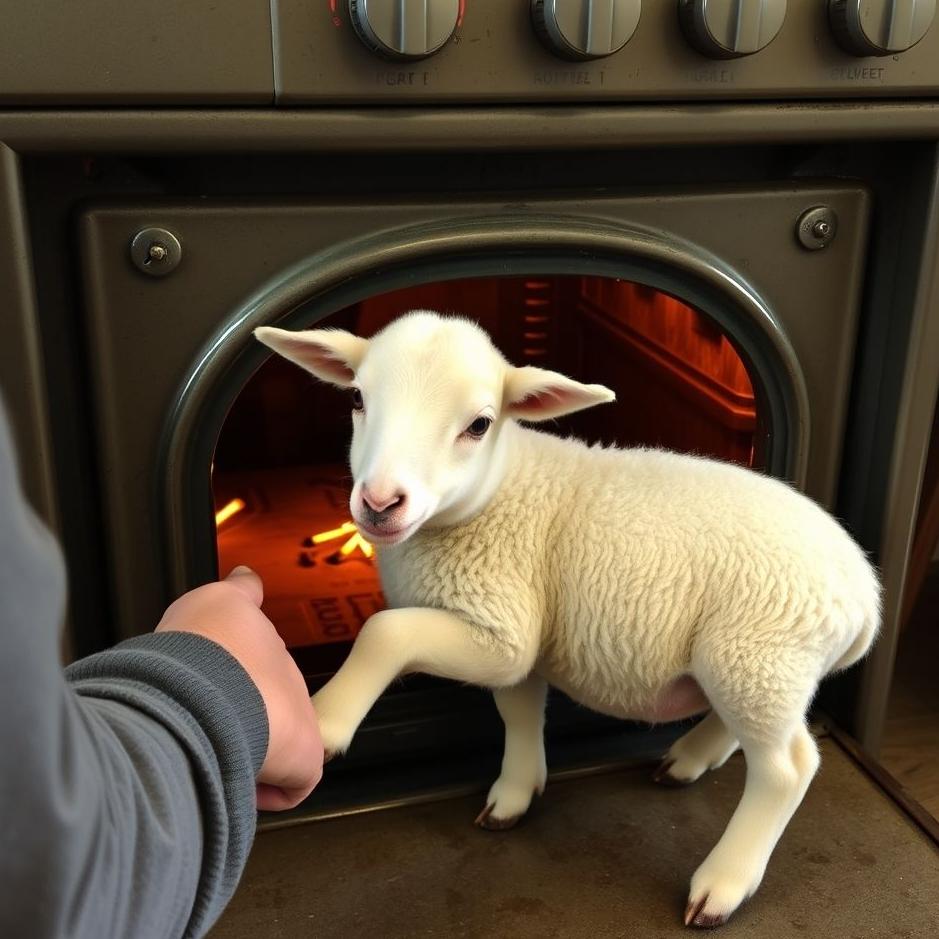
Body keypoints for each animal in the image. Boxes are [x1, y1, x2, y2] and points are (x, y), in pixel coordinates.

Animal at [255, 311, 881, 929]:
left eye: (479, 425)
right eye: (357, 398)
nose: (381, 503)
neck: (493, 495)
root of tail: (865, 596)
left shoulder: (502, 627)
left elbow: (384, 629)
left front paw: (326, 721)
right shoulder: (519, 643)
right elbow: (518, 708)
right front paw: (515, 790)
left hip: (759, 654)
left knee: (787, 767)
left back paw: (722, 885)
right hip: (752, 666)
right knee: (748, 728)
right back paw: (689, 759)